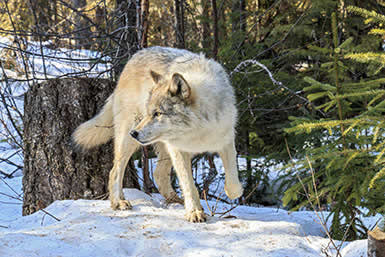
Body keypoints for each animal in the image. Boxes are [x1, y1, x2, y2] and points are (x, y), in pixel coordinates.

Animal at [73, 46, 242, 222]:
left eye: (157, 114)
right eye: (150, 113)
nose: (134, 133)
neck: (198, 129)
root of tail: (134, 58)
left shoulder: (226, 141)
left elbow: (233, 183)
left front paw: (231, 193)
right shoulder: (178, 149)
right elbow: (188, 184)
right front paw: (194, 212)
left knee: (158, 174)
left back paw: (175, 200)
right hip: (130, 140)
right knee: (115, 171)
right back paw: (119, 202)